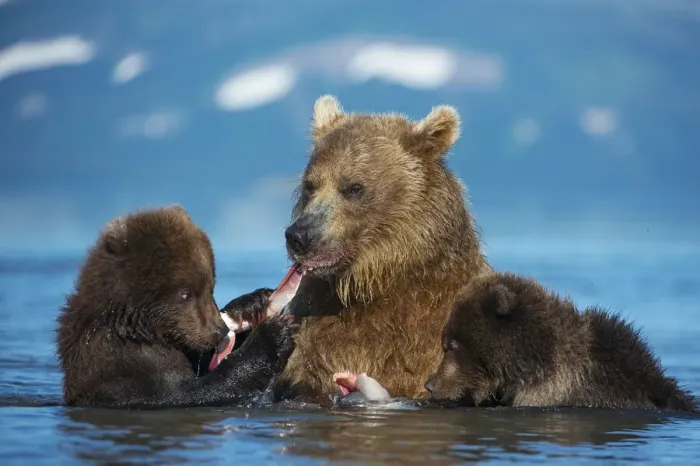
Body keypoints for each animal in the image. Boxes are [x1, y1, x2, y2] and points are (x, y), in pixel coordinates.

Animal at [56, 205, 296, 409]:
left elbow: (201, 359)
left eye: (211, 287)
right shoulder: (124, 371)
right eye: (185, 293)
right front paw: (272, 335)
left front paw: (253, 303)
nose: (218, 330)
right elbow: (188, 393)